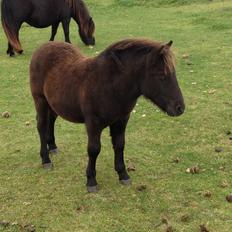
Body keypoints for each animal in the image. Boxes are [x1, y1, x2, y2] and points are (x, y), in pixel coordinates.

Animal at [29, 39, 185, 192]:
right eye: (161, 75)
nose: (180, 108)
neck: (110, 85)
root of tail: (43, 47)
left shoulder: (121, 120)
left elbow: (120, 145)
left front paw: (123, 174)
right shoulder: (93, 124)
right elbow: (94, 149)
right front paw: (91, 180)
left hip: (53, 103)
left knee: (51, 121)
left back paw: (52, 147)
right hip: (40, 100)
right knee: (41, 125)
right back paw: (46, 159)